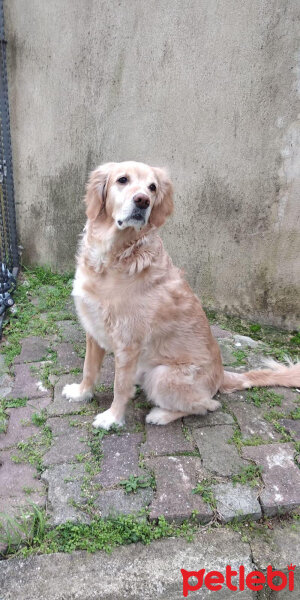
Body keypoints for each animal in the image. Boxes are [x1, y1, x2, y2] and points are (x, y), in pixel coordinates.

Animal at [62, 162, 300, 428]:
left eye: (152, 187)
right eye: (122, 180)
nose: (143, 201)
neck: (113, 257)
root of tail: (222, 376)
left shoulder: (128, 343)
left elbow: (120, 386)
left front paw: (112, 418)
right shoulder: (93, 330)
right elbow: (89, 368)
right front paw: (81, 393)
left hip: (161, 375)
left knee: (207, 405)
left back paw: (161, 415)